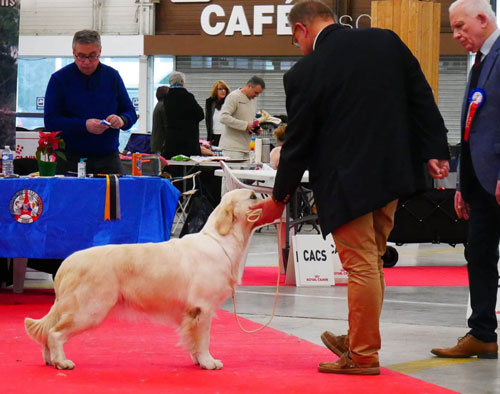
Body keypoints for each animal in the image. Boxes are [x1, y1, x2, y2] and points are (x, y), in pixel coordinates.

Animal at [24, 189, 266, 370]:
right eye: (253, 196)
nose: (267, 196)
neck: (221, 242)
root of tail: (66, 264)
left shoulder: (194, 312)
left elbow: (193, 340)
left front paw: (199, 361)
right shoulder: (202, 309)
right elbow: (203, 339)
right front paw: (208, 362)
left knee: (47, 333)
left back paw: (50, 360)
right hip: (89, 309)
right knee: (55, 333)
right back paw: (62, 362)